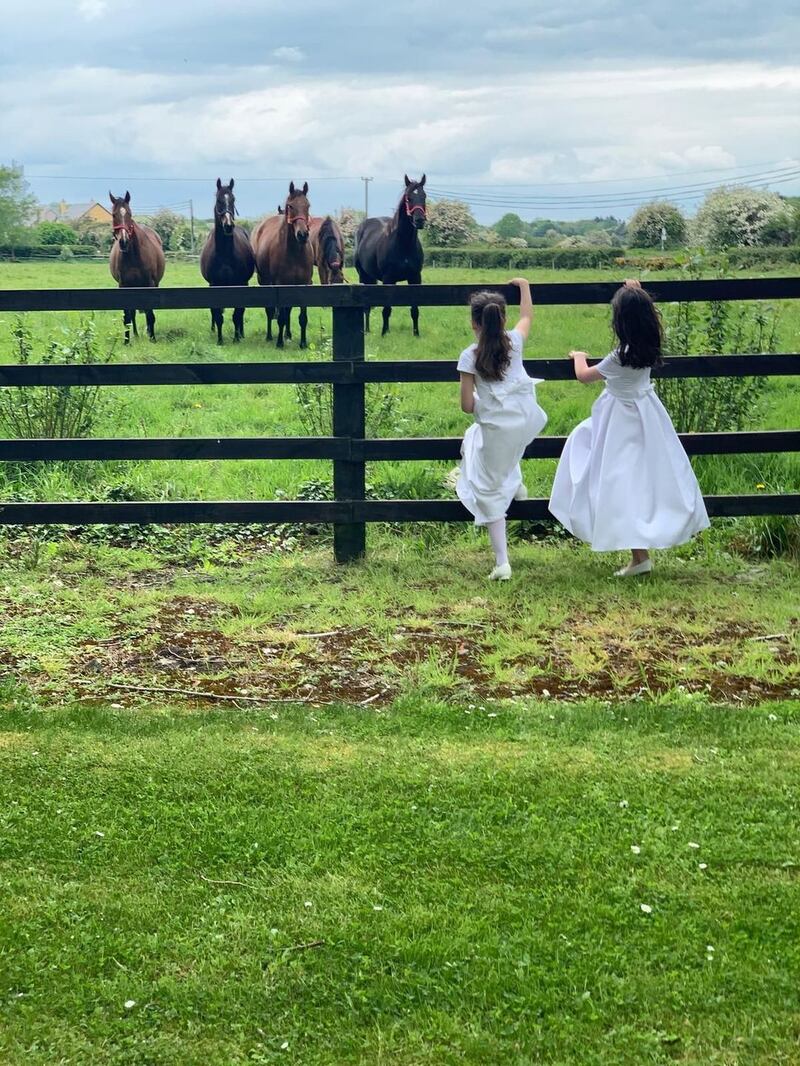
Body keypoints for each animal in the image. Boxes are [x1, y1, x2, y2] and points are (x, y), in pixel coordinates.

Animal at [108, 189, 166, 343]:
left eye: (129, 213)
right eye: (114, 214)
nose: (124, 241)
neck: (133, 256)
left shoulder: (150, 284)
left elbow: (150, 313)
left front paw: (152, 338)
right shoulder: (124, 286)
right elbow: (127, 316)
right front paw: (126, 341)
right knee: (133, 312)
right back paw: (135, 334)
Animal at [199, 179, 254, 343]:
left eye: (233, 199)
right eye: (219, 200)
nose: (228, 226)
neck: (224, 255)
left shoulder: (240, 284)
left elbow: (237, 314)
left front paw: (236, 338)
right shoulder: (214, 285)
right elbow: (218, 315)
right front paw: (220, 340)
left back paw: (241, 333)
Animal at [251, 181, 315, 347]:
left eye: (308, 205)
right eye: (290, 206)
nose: (302, 235)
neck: (295, 253)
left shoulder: (304, 284)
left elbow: (301, 317)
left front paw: (303, 343)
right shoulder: (281, 284)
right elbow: (281, 316)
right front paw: (280, 342)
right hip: (265, 282)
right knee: (270, 310)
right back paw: (270, 336)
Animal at [352, 172, 426, 334]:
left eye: (424, 196)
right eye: (408, 198)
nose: (419, 220)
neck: (403, 246)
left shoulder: (415, 278)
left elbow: (415, 309)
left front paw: (416, 333)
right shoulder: (388, 278)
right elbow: (386, 309)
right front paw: (384, 332)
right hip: (364, 276)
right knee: (366, 307)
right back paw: (367, 330)